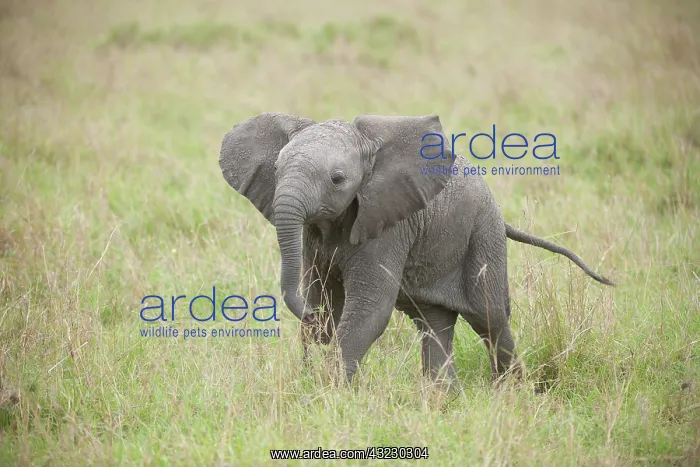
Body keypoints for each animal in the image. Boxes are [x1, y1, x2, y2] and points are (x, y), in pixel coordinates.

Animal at [218, 112, 615, 386]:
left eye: (337, 180)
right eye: (276, 170)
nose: (312, 323)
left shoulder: (388, 226)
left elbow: (369, 310)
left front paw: (330, 392)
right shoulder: (314, 235)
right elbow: (324, 292)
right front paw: (315, 365)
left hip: (483, 234)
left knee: (490, 317)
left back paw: (510, 392)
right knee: (433, 322)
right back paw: (443, 400)